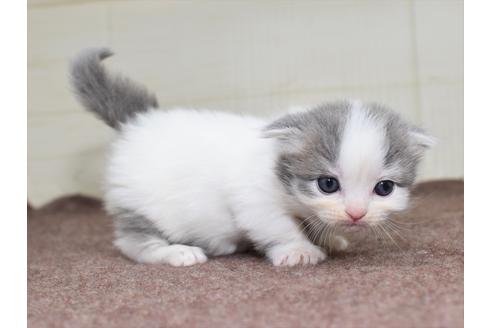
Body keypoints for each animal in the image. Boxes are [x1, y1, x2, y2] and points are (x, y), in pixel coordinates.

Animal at [71, 47, 432, 266]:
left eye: (384, 188)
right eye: (328, 184)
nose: (356, 214)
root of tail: (140, 120)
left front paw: (329, 238)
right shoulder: (255, 201)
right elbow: (278, 226)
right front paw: (300, 250)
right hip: (141, 203)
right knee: (131, 241)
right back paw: (176, 252)